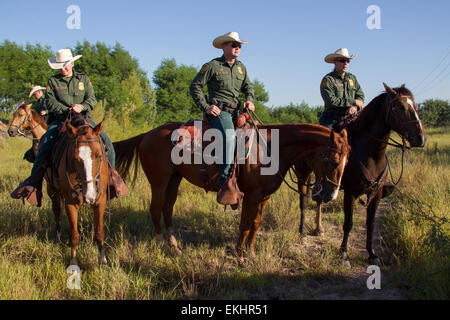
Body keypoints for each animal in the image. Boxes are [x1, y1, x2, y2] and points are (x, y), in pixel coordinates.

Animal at [113, 119, 352, 264]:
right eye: (334, 161)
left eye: (346, 162)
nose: (331, 195)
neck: (270, 149)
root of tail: (146, 135)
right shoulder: (252, 195)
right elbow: (244, 226)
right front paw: (240, 258)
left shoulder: (264, 197)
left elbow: (255, 224)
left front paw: (252, 254)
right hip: (159, 182)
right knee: (155, 210)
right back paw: (162, 246)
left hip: (174, 180)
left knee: (167, 210)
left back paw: (175, 248)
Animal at [296, 82, 426, 264]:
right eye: (400, 107)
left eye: (415, 106)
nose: (420, 139)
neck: (371, 153)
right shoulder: (350, 192)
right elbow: (348, 223)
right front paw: (343, 253)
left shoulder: (376, 194)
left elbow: (370, 224)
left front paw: (372, 253)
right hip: (303, 173)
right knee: (304, 200)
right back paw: (302, 231)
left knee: (319, 199)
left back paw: (318, 228)